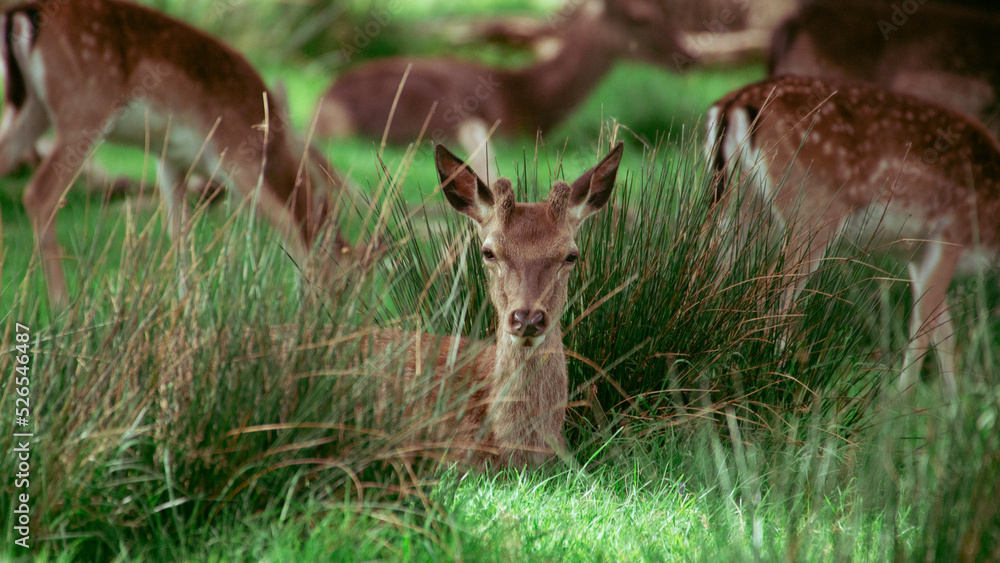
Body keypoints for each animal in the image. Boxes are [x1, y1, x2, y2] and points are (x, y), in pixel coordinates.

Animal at [0, 0, 350, 310]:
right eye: (348, 269)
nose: (338, 308)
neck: (271, 145)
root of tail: (26, 12)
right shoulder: (237, 154)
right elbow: (290, 228)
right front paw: (306, 309)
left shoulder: (170, 159)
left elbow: (180, 233)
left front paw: (188, 311)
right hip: (84, 106)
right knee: (39, 194)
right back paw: (63, 309)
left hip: (32, 108)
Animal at [704, 76, 1000, 396]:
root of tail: (734, 102)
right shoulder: (950, 234)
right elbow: (924, 326)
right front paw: (902, 401)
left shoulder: (916, 255)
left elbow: (943, 330)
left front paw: (951, 403)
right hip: (811, 211)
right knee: (769, 291)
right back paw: (776, 378)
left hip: (736, 205)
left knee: (714, 278)